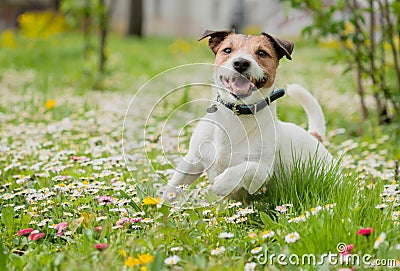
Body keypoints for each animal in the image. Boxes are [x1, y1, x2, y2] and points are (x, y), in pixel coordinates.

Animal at [161, 30, 332, 204]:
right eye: (227, 50)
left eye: (262, 53)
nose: (241, 63)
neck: (237, 113)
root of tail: (315, 137)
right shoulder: (192, 161)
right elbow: (171, 189)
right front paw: (160, 207)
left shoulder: (263, 172)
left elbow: (247, 167)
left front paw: (222, 183)